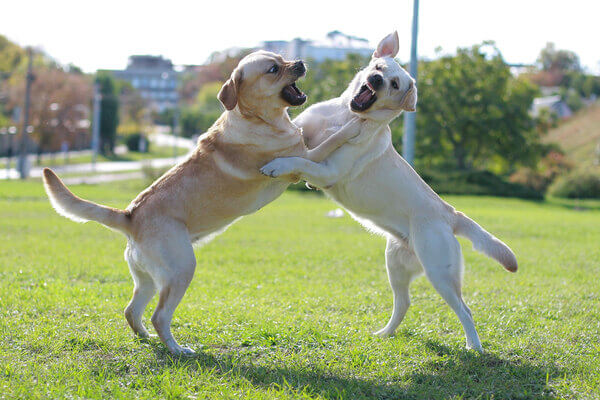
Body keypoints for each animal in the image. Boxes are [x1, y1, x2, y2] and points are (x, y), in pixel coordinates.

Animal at [260, 32, 516, 350]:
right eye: (379, 67)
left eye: (394, 84)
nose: (376, 80)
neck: (344, 117)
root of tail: (451, 213)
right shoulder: (305, 131)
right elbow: (300, 140)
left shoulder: (329, 170)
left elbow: (299, 160)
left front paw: (277, 165)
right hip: (395, 264)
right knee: (404, 303)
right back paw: (385, 333)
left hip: (440, 273)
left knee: (465, 309)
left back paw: (474, 347)